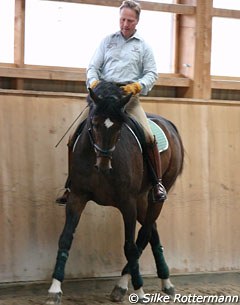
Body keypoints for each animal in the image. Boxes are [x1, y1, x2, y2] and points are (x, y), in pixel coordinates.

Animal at [46, 81, 184, 304]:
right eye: (93, 124)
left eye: (119, 127)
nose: (103, 165)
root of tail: (168, 124)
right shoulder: (77, 197)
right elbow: (65, 238)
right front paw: (55, 289)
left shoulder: (127, 204)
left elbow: (130, 247)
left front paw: (139, 291)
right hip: (142, 200)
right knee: (152, 230)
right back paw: (165, 282)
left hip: (156, 198)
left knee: (144, 234)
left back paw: (125, 285)